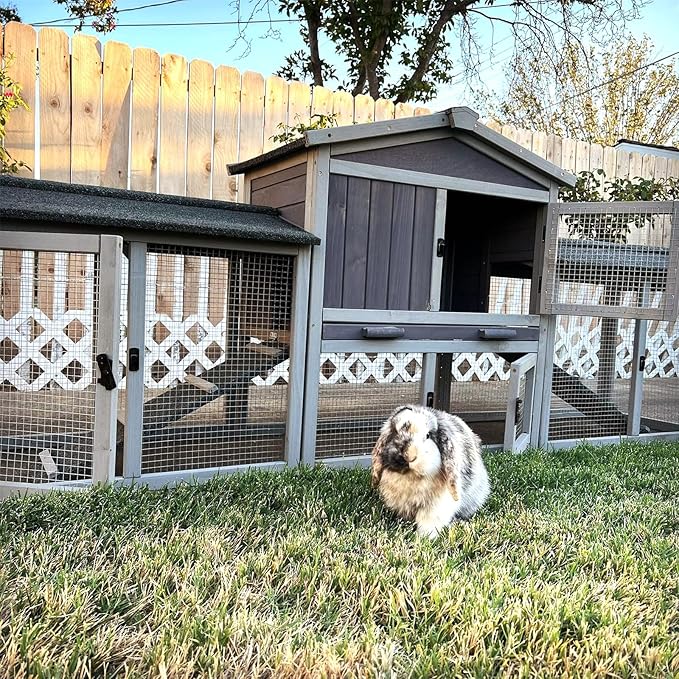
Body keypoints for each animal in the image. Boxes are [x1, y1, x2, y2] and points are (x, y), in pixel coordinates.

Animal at [371, 404, 490, 538]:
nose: (409, 455)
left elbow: (429, 522)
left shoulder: (436, 506)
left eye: (428, 435)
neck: (412, 477)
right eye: (395, 432)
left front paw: (425, 538)